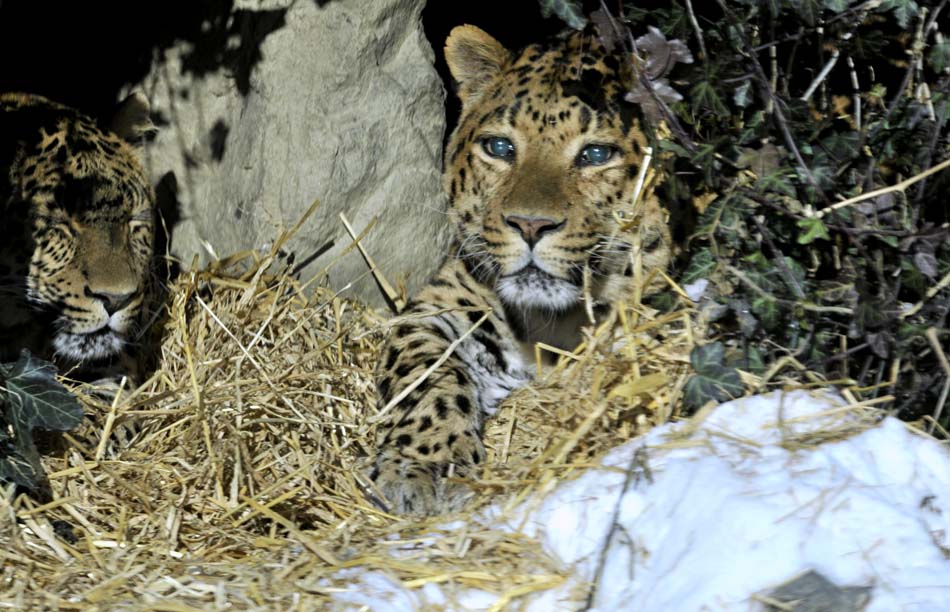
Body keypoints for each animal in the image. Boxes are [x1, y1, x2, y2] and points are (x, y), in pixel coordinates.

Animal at [368, 25, 673, 515]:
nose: (530, 225)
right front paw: (423, 466)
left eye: (595, 154)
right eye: (500, 147)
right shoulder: (441, 307)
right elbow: (428, 379)